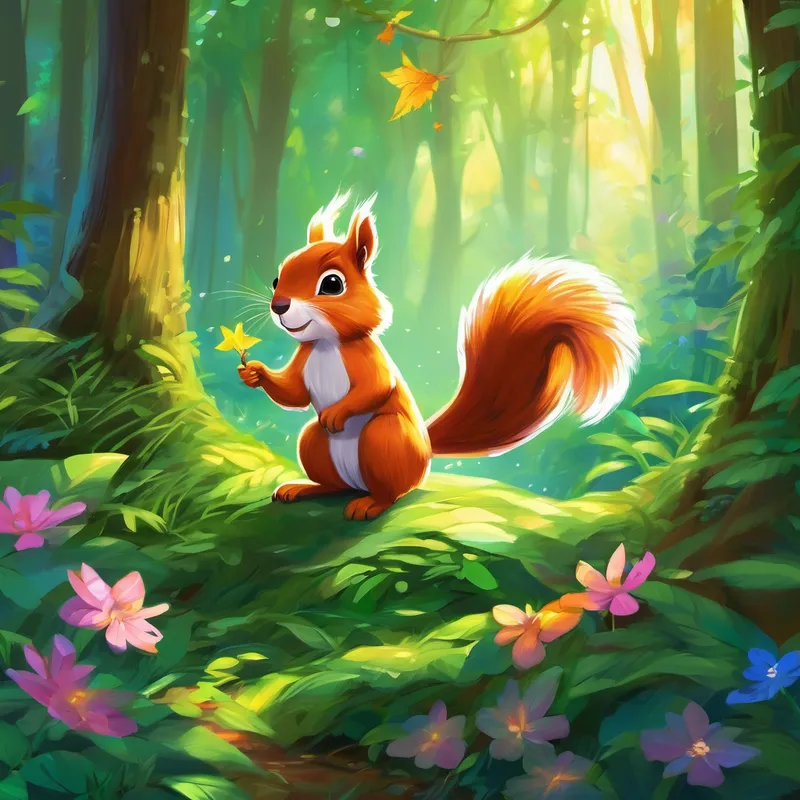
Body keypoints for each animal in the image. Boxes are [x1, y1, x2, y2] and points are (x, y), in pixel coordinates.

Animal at [239, 191, 640, 521]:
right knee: (335, 483)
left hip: (385, 439)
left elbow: (375, 388)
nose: (279, 306)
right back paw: (303, 488)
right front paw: (253, 373)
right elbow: (293, 394)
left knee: (391, 492)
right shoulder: (304, 362)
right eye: (277, 279)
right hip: (313, 443)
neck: (325, 344)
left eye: (333, 284)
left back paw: (370, 504)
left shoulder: (370, 362)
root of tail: (426, 451)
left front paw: (337, 412)